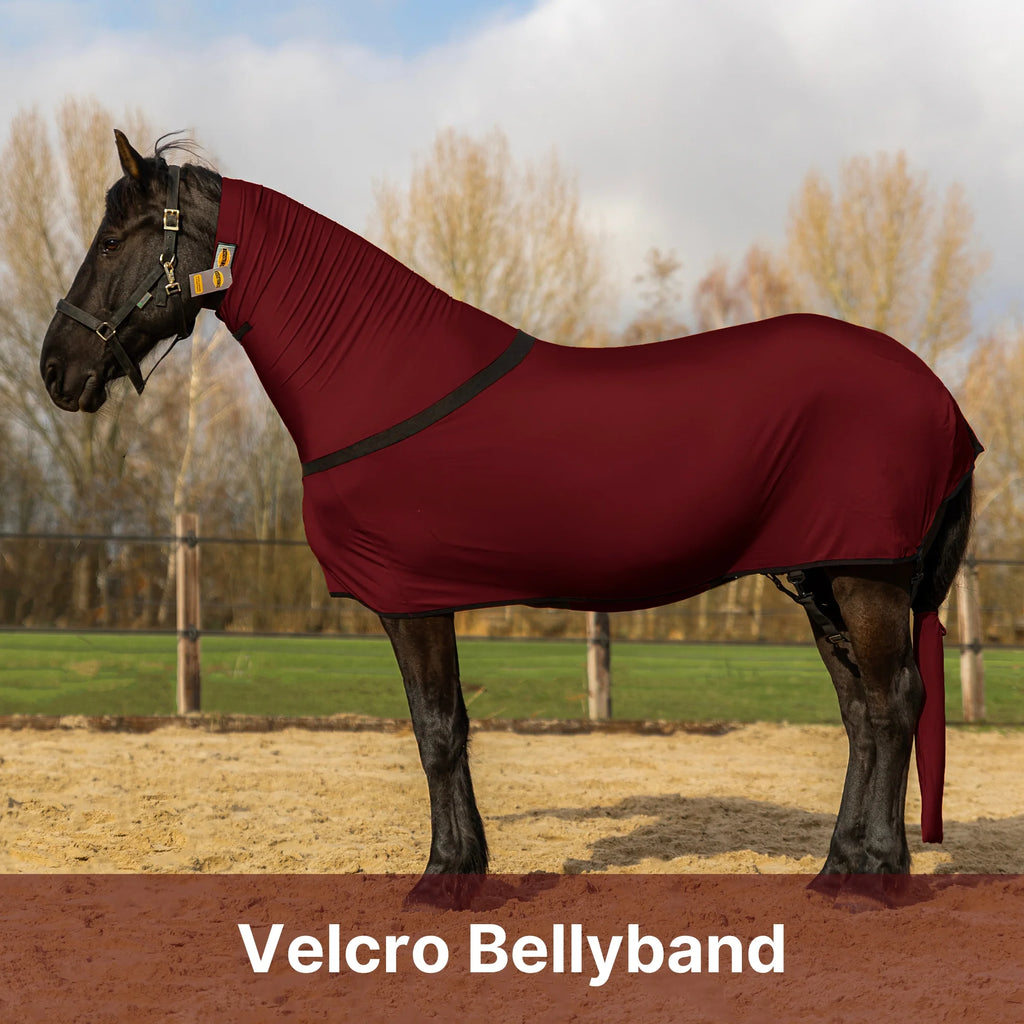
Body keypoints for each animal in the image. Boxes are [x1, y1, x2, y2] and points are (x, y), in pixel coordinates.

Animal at [40, 132, 980, 905]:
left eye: (115, 240)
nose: (56, 368)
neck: (378, 376)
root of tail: (942, 400)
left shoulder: (411, 599)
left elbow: (436, 731)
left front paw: (445, 876)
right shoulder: (425, 597)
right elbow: (447, 727)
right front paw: (464, 864)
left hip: (866, 577)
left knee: (894, 701)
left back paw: (876, 877)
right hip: (824, 576)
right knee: (860, 712)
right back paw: (838, 867)